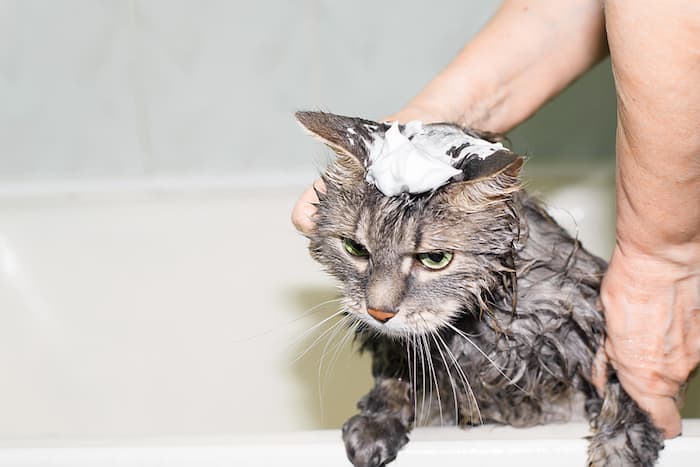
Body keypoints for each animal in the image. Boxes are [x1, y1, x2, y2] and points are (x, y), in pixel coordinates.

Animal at [294, 112, 660, 467]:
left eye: (435, 259)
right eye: (355, 248)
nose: (379, 312)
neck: (481, 334)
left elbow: (625, 388)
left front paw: (620, 446)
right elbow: (394, 377)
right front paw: (376, 422)